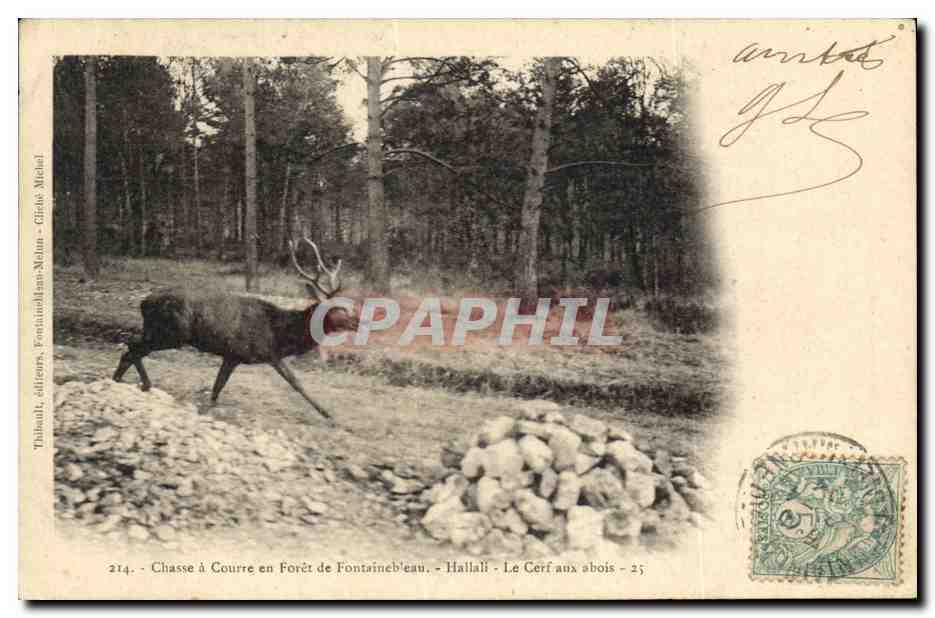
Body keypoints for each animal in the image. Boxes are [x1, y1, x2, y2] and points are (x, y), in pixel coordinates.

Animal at [113, 238, 358, 423]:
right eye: (335, 310)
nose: (357, 321)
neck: (279, 334)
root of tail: (143, 302)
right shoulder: (262, 353)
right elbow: (296, 382)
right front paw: (328, 415)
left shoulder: (233, 355)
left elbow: (217, 388)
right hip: (169, 334)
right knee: (132, 347)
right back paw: (139, 384)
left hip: (157, 332)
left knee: (131, 346)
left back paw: (126, 382)